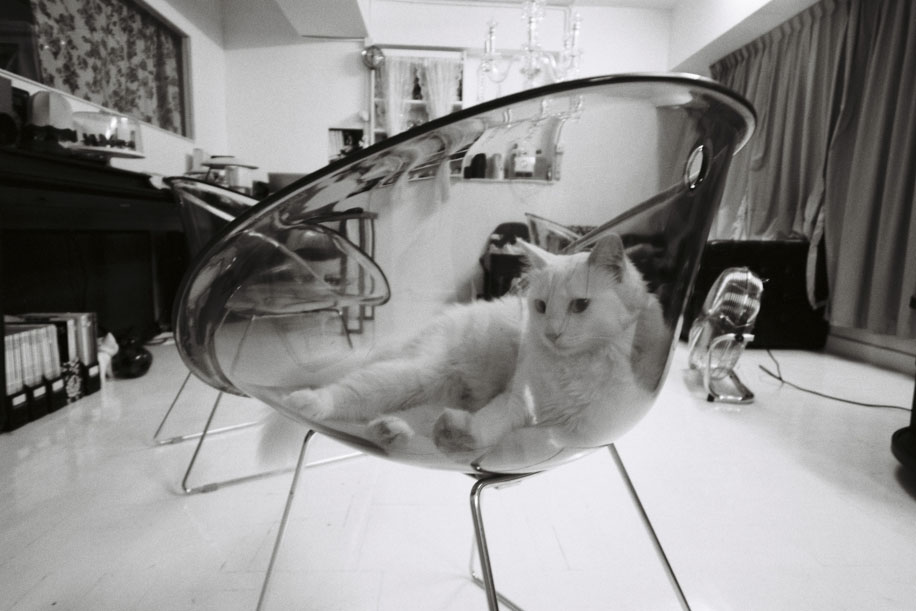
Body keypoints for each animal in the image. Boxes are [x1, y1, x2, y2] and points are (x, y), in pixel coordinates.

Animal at [278, 232, 669, 465]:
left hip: (433, 396)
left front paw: (466, 438)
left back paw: (394, 431)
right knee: (349, 393)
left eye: (580, 306)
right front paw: (470, 435)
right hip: (415, 375)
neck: (572, 367)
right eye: (541, 306)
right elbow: (491, 424)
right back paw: (307, 402)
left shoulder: (581, 432)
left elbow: (517, 439)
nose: (552, 334)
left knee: (412, 420)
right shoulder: (517, 402)